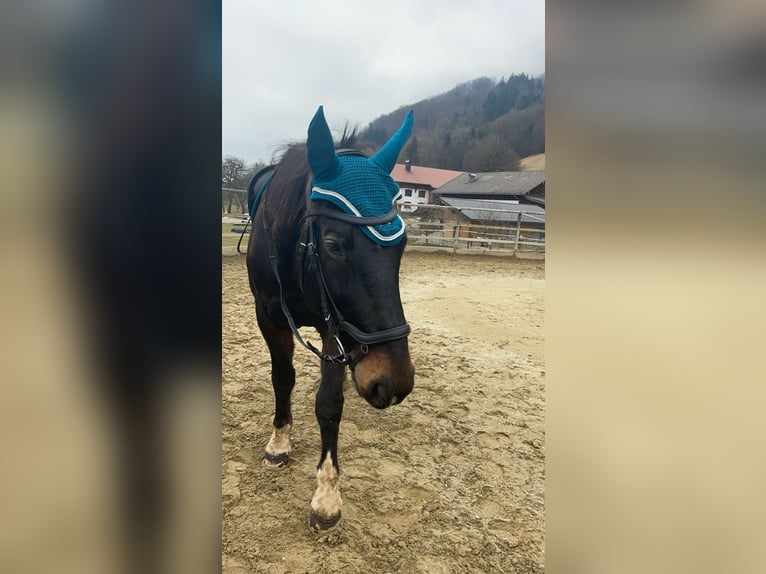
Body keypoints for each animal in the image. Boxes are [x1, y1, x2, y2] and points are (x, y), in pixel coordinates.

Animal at [244, 107, 414, 532]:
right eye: (334, 244)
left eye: (402, 243)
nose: (393, 382)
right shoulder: (267, 316)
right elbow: (282, 378)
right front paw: (279, 443)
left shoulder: (332, 327)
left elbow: (330, 403)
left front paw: (326, 497)